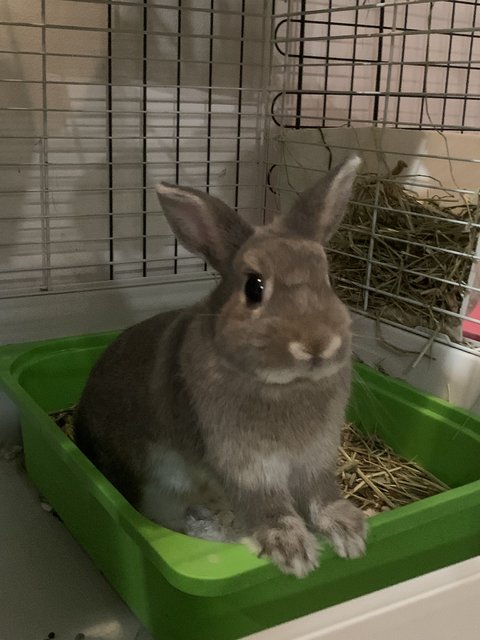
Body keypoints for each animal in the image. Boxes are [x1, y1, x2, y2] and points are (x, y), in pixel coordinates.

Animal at [76, 158, 368, 576]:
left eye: (327, 279)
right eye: (254, 287)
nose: (317, 345)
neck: (285, 386)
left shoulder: (315, 458)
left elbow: (321, 493)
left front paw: (350, 533)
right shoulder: (244, 466)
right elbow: (267, 504)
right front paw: (292, 551)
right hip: (155, 487)